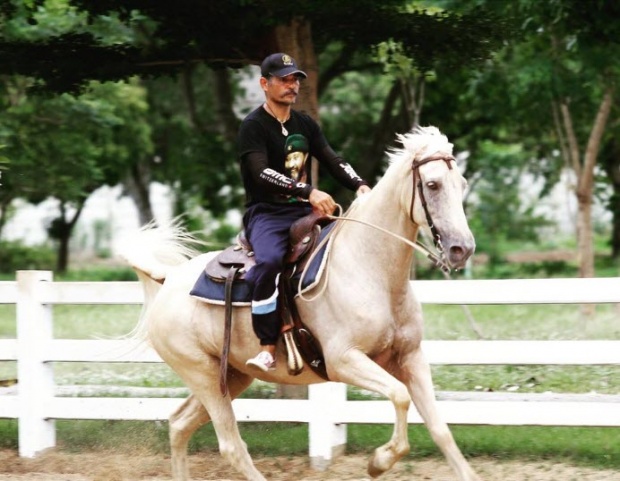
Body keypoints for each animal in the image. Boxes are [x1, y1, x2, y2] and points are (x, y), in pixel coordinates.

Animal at [121, 125, 480, 478]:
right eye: (432, 184)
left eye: (461, 184)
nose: (462, 249)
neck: (369, 269)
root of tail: (169, 279)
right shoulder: (343, 360)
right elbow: (400, 396)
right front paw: (379, 461)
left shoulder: (410, 357)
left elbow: (440, 429)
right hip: (203, 375)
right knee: (231, 446)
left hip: (231, 376)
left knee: (179, 424)